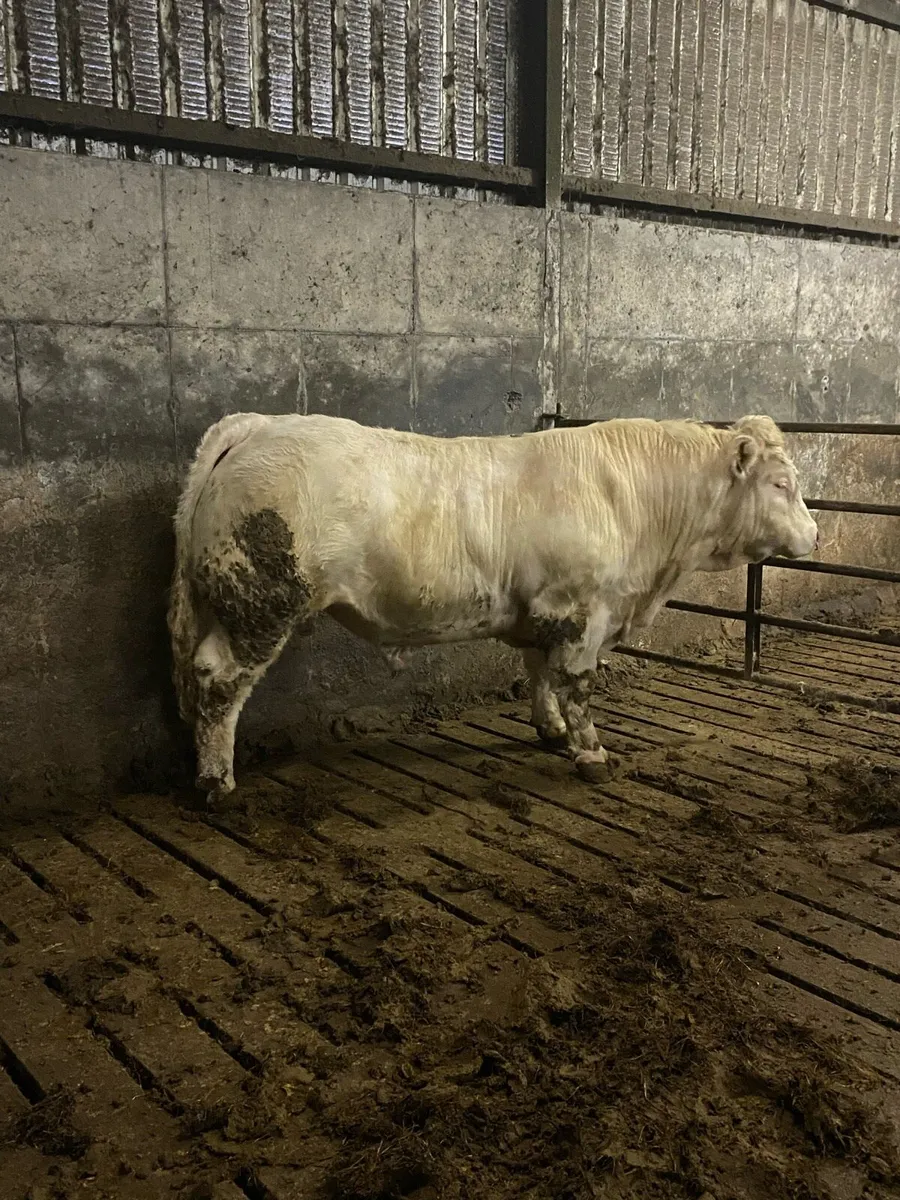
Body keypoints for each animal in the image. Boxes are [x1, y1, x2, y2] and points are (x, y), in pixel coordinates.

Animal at [168, 412, 818, 804]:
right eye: (781, 485)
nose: (815, 535)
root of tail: (258, 426)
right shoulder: (582, 610)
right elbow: (577, 685)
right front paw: (591, 752)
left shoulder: (545, 610)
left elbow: (539, 673)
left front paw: (549, 729)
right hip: (259, 606)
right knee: (219, 681)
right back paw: (216, 781)